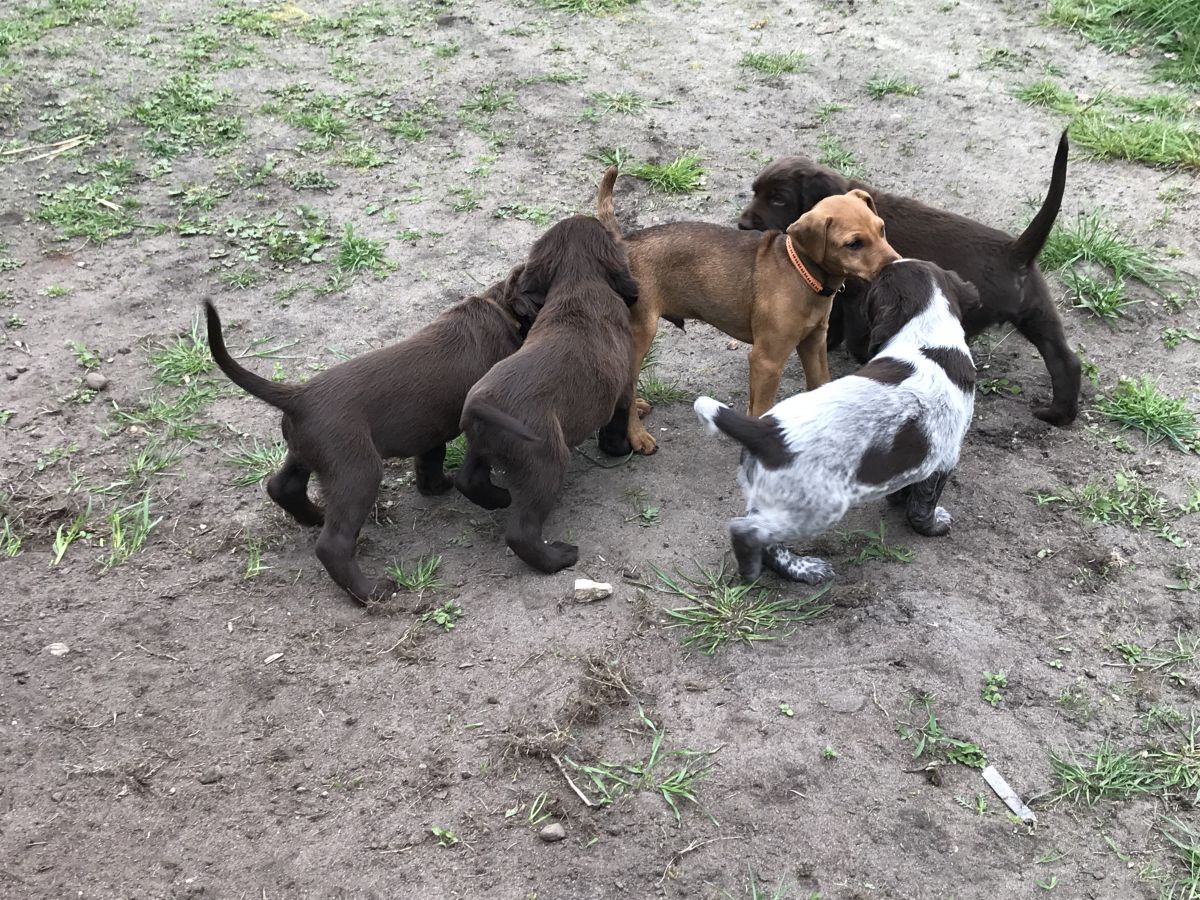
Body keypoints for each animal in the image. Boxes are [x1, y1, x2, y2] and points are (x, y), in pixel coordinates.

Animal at [206, 267, 535, 607]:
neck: (501, 309)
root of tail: (298, 396)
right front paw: (496, 497)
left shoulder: (430, 427)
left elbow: (430, 459)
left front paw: (436, 487)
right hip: (357, 470)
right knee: (333, 545)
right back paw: (372, 593)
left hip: (308, 453)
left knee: (283, 486)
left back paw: (316, 516)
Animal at [451, 168, 638, 573]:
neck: (579, 281)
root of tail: (481, 407)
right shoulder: (625, 385)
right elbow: (618, 420)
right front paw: (618, 450)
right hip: (547, 461)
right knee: (521, 532)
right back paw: (559, 557)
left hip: (482, 444)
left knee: (468, 479)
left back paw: (498, 498)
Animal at [609, 181, 902, 458]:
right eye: (854, 244)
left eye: (882, 230)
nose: (897, 265)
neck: (800, 273)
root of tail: (625, 243)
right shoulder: (766, 361)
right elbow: (761, 409)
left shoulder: (814, 344)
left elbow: (820, 384)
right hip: (641, 336)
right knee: (627, 387)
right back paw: (637, 435)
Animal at [691, 259, 979, 585]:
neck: (926, 337)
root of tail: (765, 432)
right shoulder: (945, 457)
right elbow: (923, 504)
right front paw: (933, 526)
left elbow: (908, 484)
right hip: (820, 506)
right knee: (748, 531)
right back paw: (766, 569)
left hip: (771, 494)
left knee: (764, 534)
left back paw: (798, 568)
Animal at [739, 131, 1080, 429]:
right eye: (756, 192)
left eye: (779, 199)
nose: (742, 224)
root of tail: (1015, 252)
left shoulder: (860, 297)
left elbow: (854, 334)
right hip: (1038, 316)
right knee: (1066, 362)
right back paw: (1059, 415)